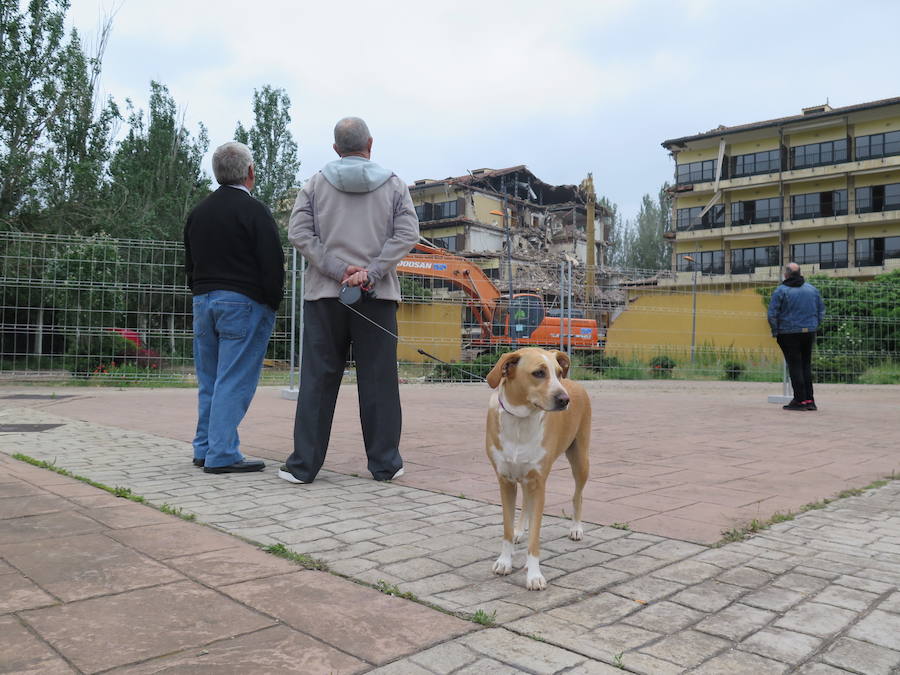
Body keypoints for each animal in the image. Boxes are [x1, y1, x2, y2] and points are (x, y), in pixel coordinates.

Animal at [486, 348, 592, 592]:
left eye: (558, 372)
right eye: (538, 373)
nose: (565, 400)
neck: (520, 421)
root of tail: (575, 384)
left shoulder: (539, 482)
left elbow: (536, 537)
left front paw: (534, 575)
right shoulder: (505, 481)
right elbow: (506, 529)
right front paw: (505, 561)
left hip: (580, 459)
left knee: (578, 495)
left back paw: (576, 528)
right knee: (526, 502)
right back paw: (520, 530)